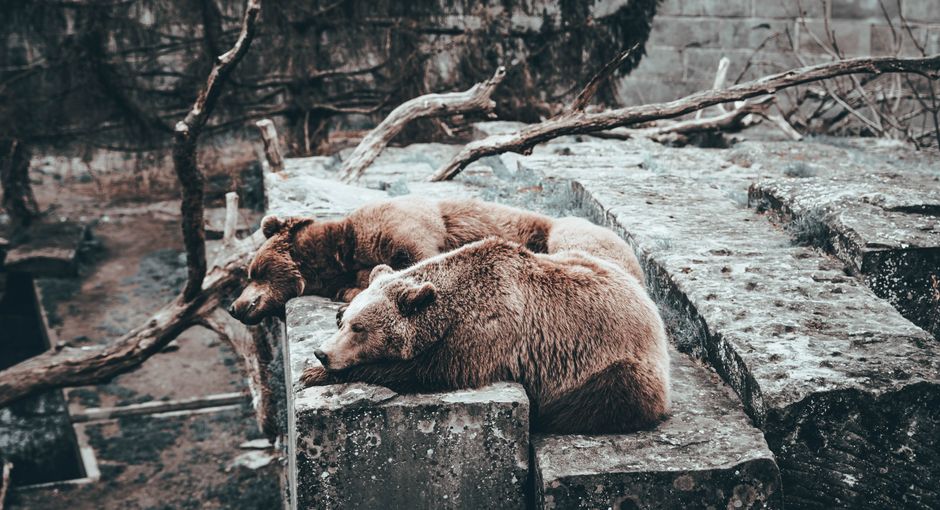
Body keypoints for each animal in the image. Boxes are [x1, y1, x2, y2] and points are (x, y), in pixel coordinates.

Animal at [301, 238, 670, 434]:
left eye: (360, 328)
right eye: (345, 322)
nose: (323, 353)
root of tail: (649, 305)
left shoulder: (488, 332)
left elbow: (429, 370)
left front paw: (314, 374)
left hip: (615, 363)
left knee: (604, 397)